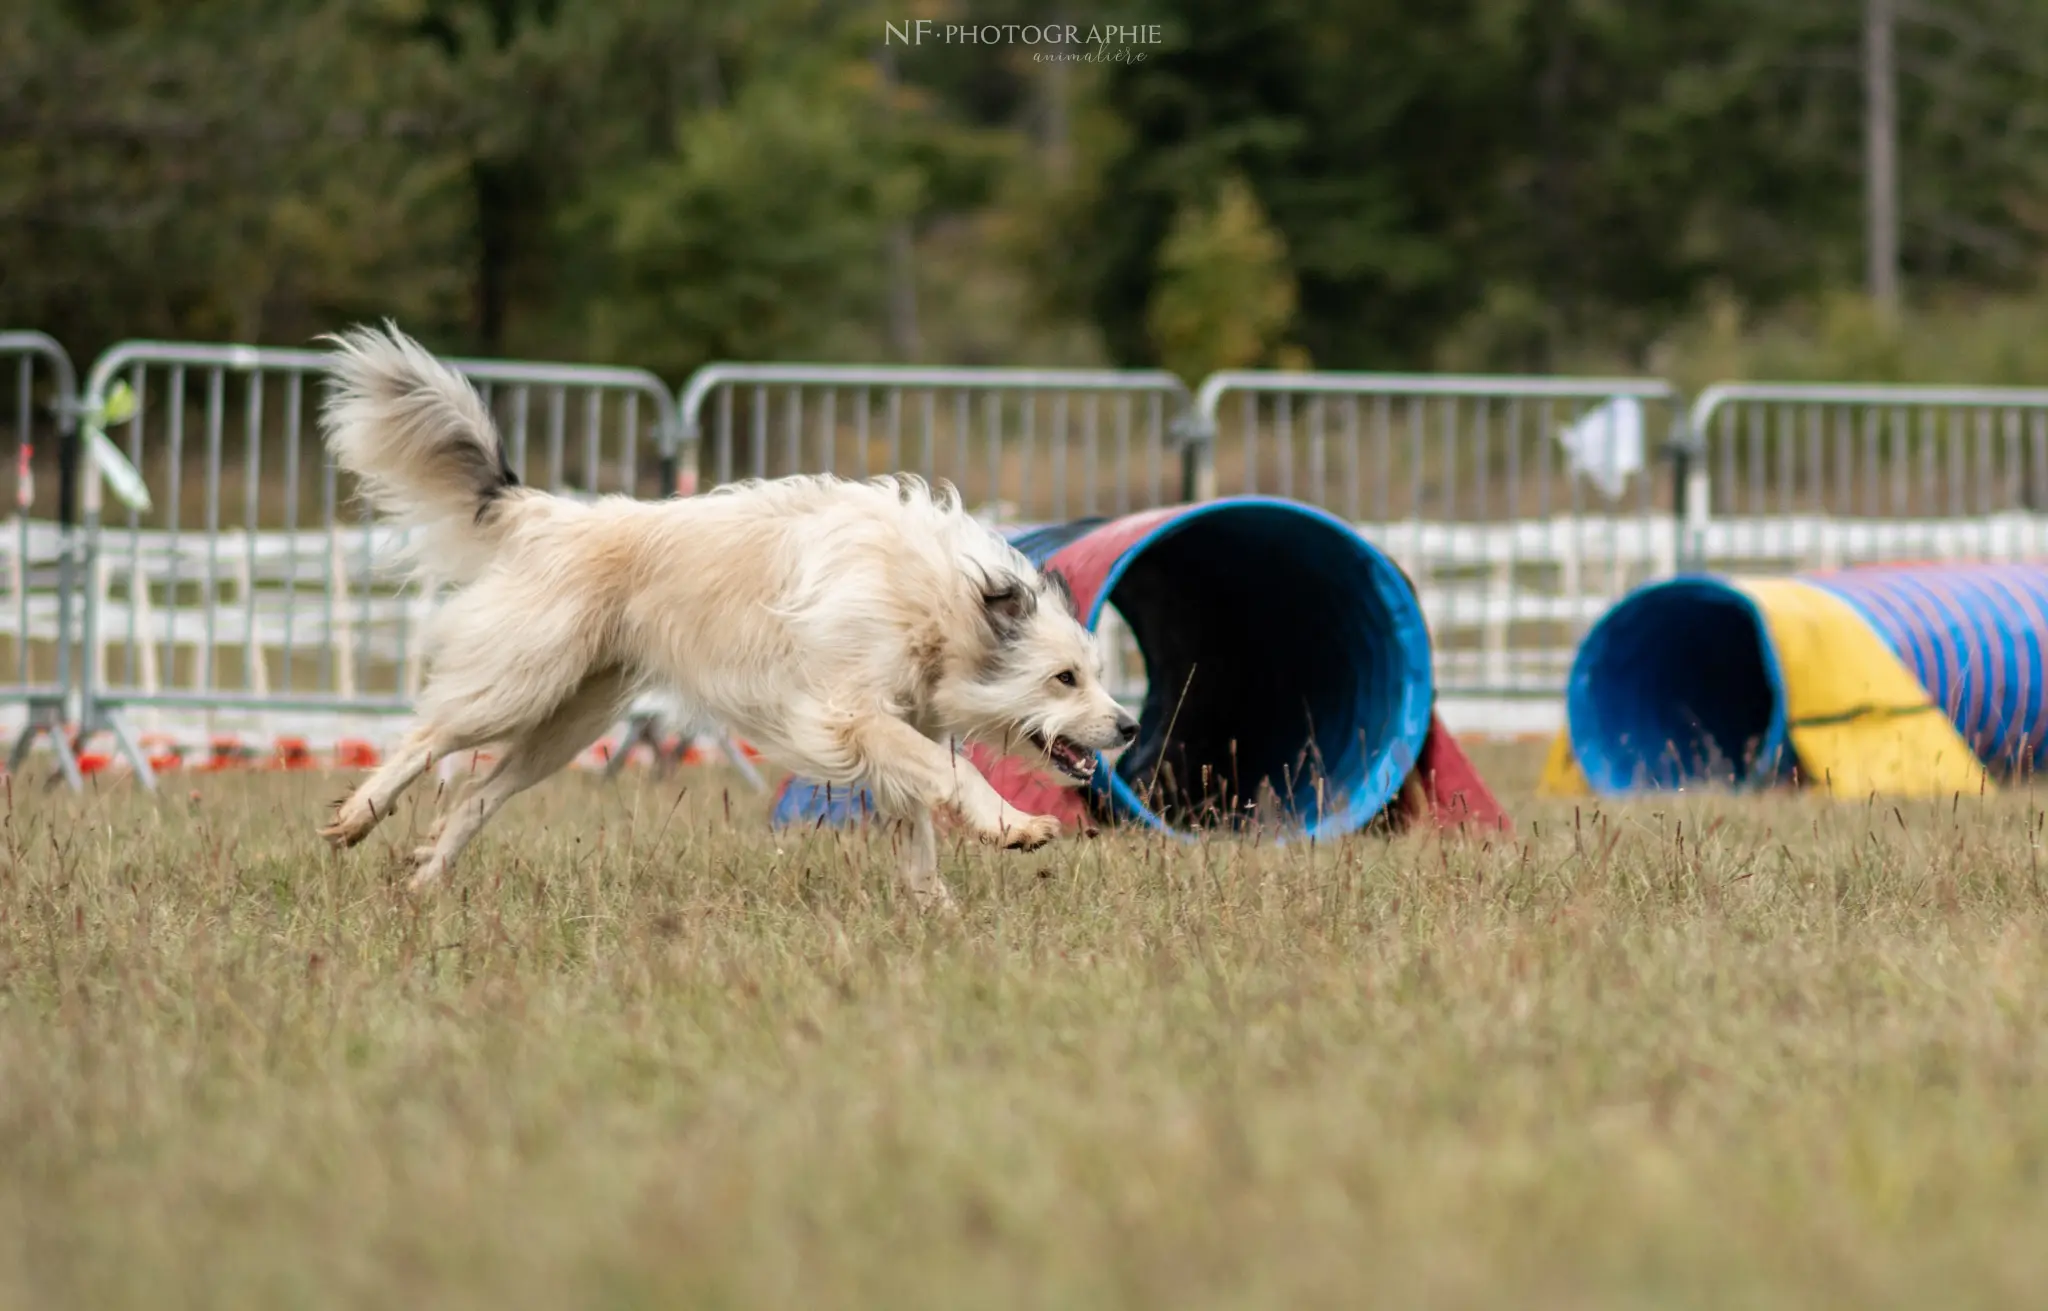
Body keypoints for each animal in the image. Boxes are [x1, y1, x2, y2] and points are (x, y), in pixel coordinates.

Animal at [315, 323, 1138, 905]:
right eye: (1064, 678)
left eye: (1097, 673)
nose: (1130, 727)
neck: (936, 599)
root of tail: (547, 512)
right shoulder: (852, 716)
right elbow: (949, 774)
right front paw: (1016, 826)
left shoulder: (900, 724)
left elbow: (920, 826)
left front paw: (939, 914)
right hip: (522, 682)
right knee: (428, 736)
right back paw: (358, 816)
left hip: (571, 720)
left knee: (479, 792)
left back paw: (425, 878)